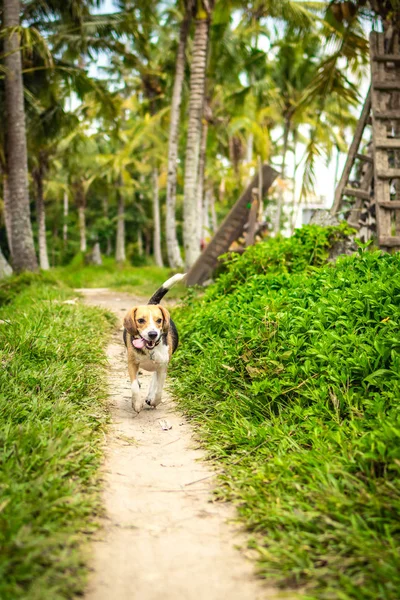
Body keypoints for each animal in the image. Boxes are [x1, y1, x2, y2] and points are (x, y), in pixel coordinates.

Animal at [122, 274, 185, 414]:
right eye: (140, 320)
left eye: (159, 320)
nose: (152, 334)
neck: (149, 349)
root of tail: (152, 303)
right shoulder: (132, 363)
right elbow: (134, 386)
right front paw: (137, 403)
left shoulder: (163, 366)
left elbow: (159, 389)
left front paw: (154, 400)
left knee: (154, 381)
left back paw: (150, 397)